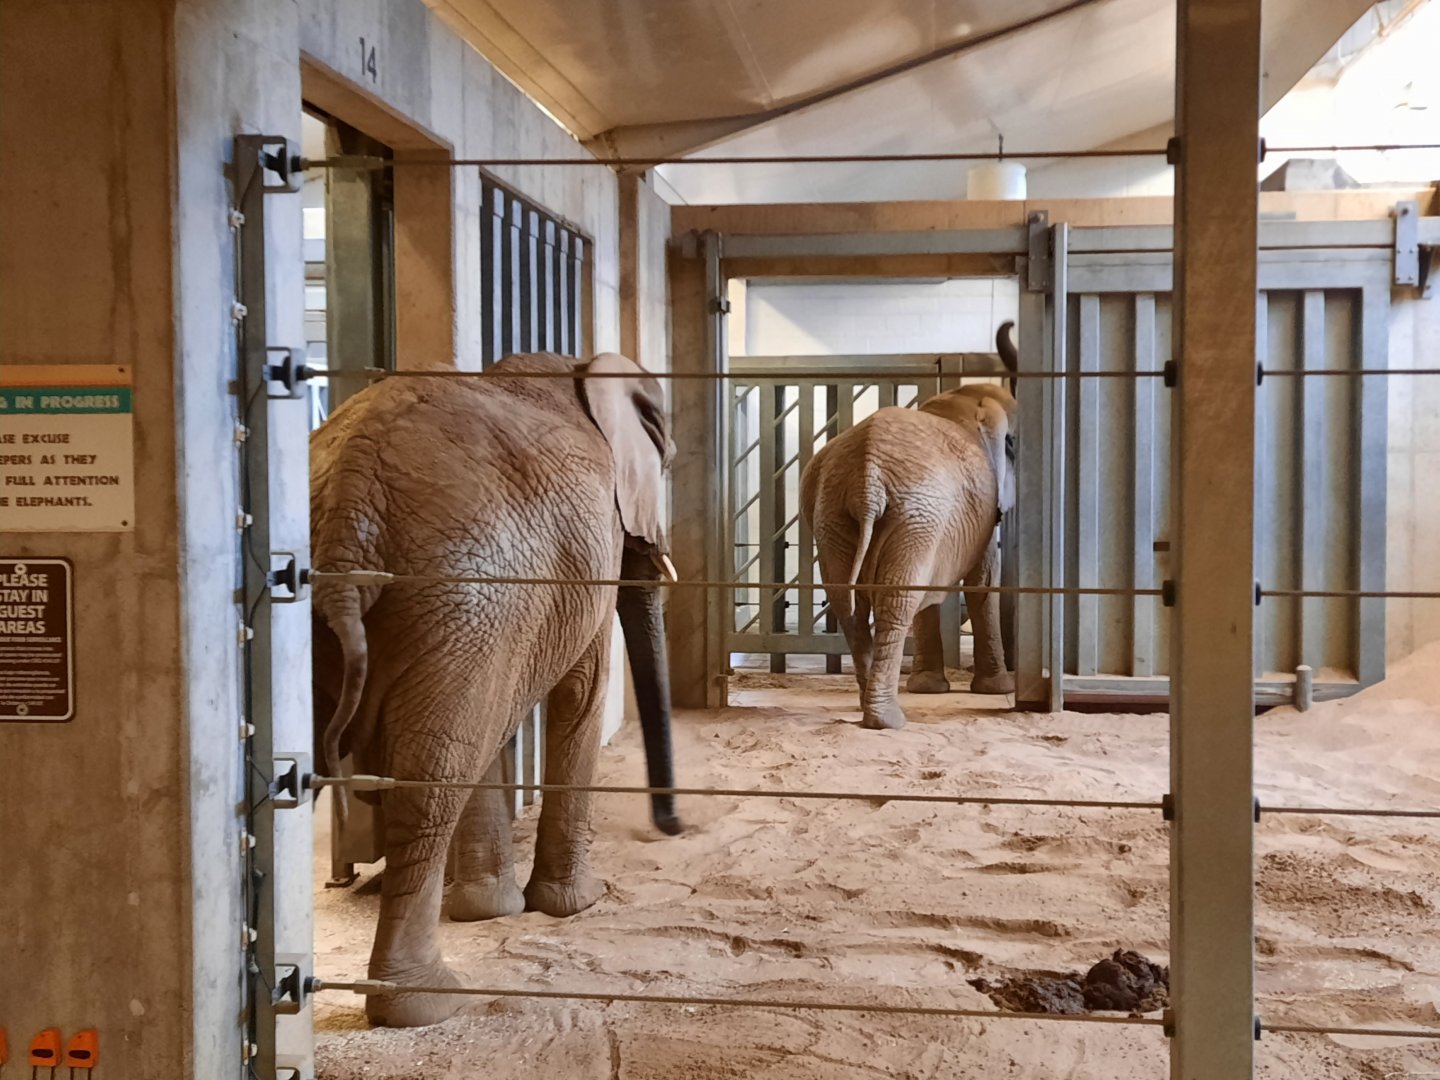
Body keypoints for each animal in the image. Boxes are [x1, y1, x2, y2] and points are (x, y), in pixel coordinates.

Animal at [309, 350, 680, 1028]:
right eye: (665, 461)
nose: (669, 829)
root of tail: (352, 497)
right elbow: (581, 693)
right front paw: (576, 904)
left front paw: (493, 912)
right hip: (467, 591)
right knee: (431, 784)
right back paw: (424, 1002)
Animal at [799, 322, 1019, 730]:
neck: (962, 405)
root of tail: (866, 477)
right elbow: (982, 580)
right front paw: (996, 689)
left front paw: (930, 689)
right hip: (914, 513)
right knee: (897, 598)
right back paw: (887, 720)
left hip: (834, 515)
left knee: (850, 605)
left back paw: (869, 706)